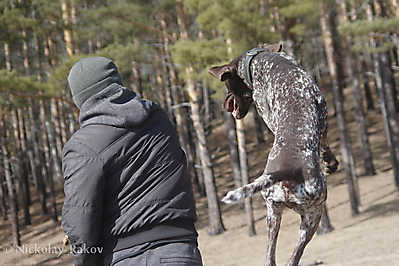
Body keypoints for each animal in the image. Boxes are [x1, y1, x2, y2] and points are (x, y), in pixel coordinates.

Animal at [209, 43, 338, 266]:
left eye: (227, 87)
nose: (225, 105)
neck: (258, 60)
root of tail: (287, 171)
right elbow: (325, 145)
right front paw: (330, 162)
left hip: (278, 215)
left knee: (275, 259)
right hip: (313, 215)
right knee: (292, 255)